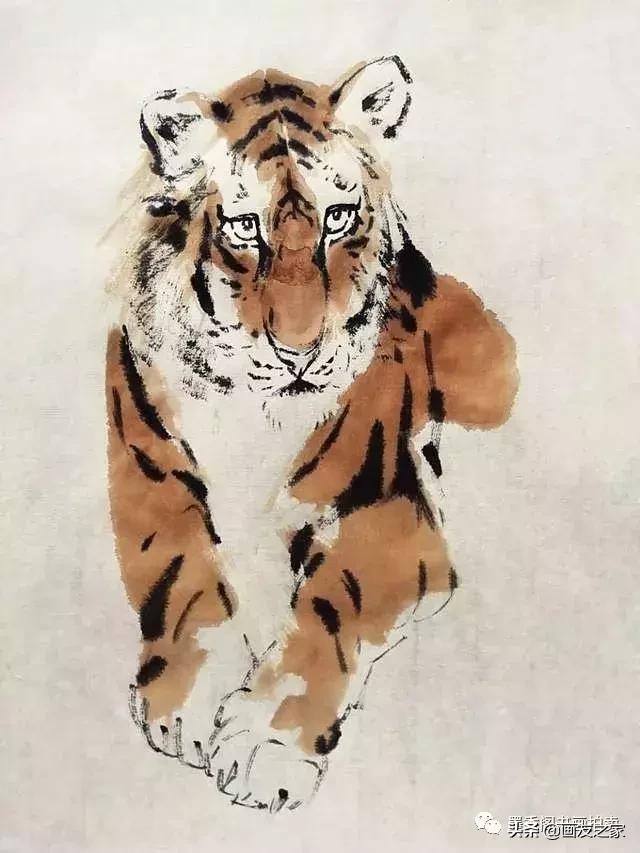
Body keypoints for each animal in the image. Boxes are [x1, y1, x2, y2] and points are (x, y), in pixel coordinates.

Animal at [105, 55, 518, 812]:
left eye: (337, 217)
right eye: (245, 227)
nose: (300, 351)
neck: (252, 402)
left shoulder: (388, 511)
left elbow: (325, 606)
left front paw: (264, 745)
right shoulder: (149, 472)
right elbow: (186, 578)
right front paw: (189, 699)